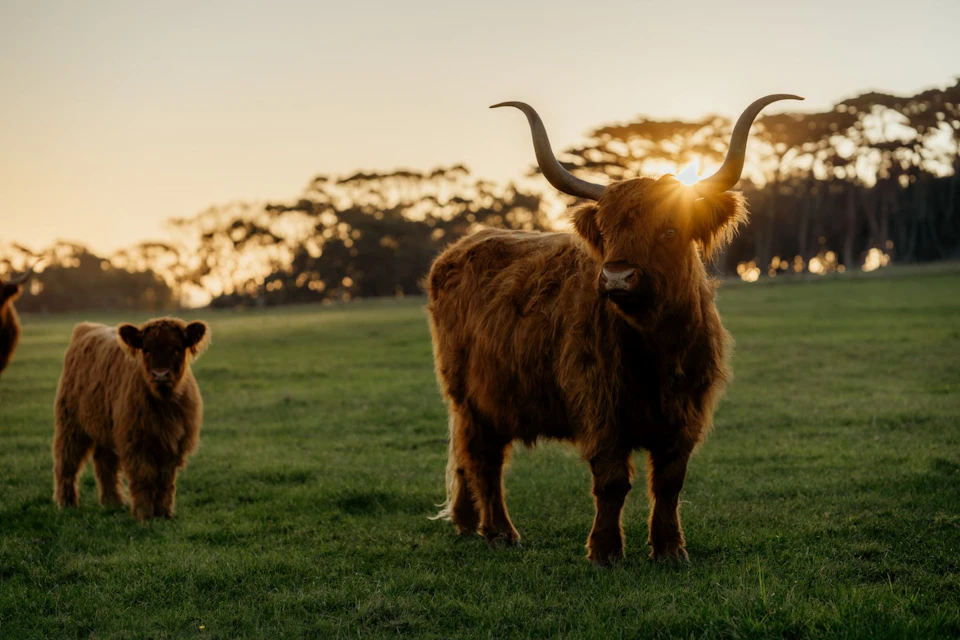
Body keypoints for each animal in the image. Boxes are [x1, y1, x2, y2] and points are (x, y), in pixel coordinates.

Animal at [53, 317, 211, 521]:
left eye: (176, 348)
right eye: (146, 349)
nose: (160, 374)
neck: (163, 403)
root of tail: (87, 327)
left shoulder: (173, 444)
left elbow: (165, 481)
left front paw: (163, 513)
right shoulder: (135, 442)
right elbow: (144, 478)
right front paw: (144, 514)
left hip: (105, 426)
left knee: (105, 464)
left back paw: (112, 502)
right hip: (70, 423)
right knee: (66, 461)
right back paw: (67, 503)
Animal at [426, 94, 802, 565]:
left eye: (669, 229)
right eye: (605, 231)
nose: (617, 277)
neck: (657, 348)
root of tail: (459, 248)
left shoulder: (687, 412)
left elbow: (669, 483)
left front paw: (670, 549)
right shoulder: (600, 404)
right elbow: (611, 481)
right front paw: (605, 551)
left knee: (467, 458)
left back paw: (465, 523)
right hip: (473, 400)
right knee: (485, 460)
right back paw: (499, 532)